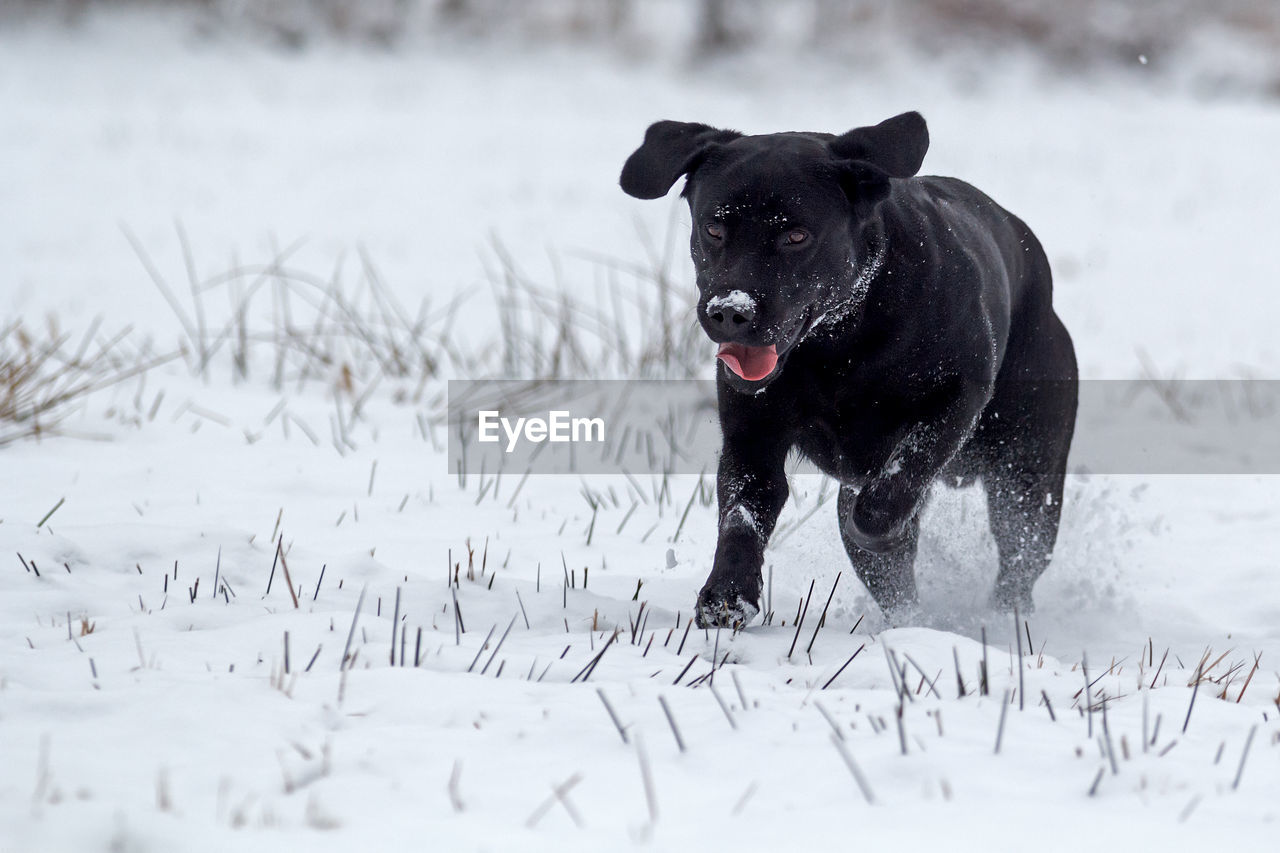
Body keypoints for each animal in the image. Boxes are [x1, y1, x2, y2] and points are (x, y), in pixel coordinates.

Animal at [616, 111, 1070, 625]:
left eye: (796, 236)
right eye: (714, 229)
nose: (731, 310)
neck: (838, 350)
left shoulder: (956, 397)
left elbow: (900, 478)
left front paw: (880, 523)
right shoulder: (752, 436)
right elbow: (742, 516)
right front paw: (727, 596)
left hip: (1030, 473)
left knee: (1018, 557)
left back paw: (1002, 617)